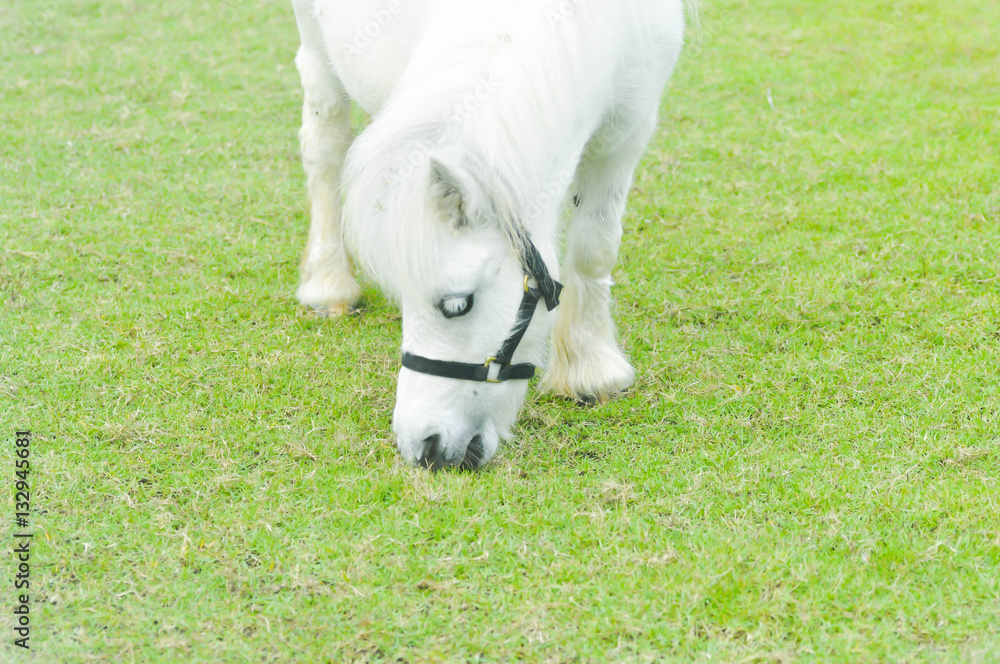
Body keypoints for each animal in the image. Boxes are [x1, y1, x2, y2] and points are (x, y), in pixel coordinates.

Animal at [290, 0, 689, 469]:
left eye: (457, 305)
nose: (422, 447)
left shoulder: (627, 131)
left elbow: (596, 247)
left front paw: (591, 367)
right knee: (325, 145)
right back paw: (328, 282)